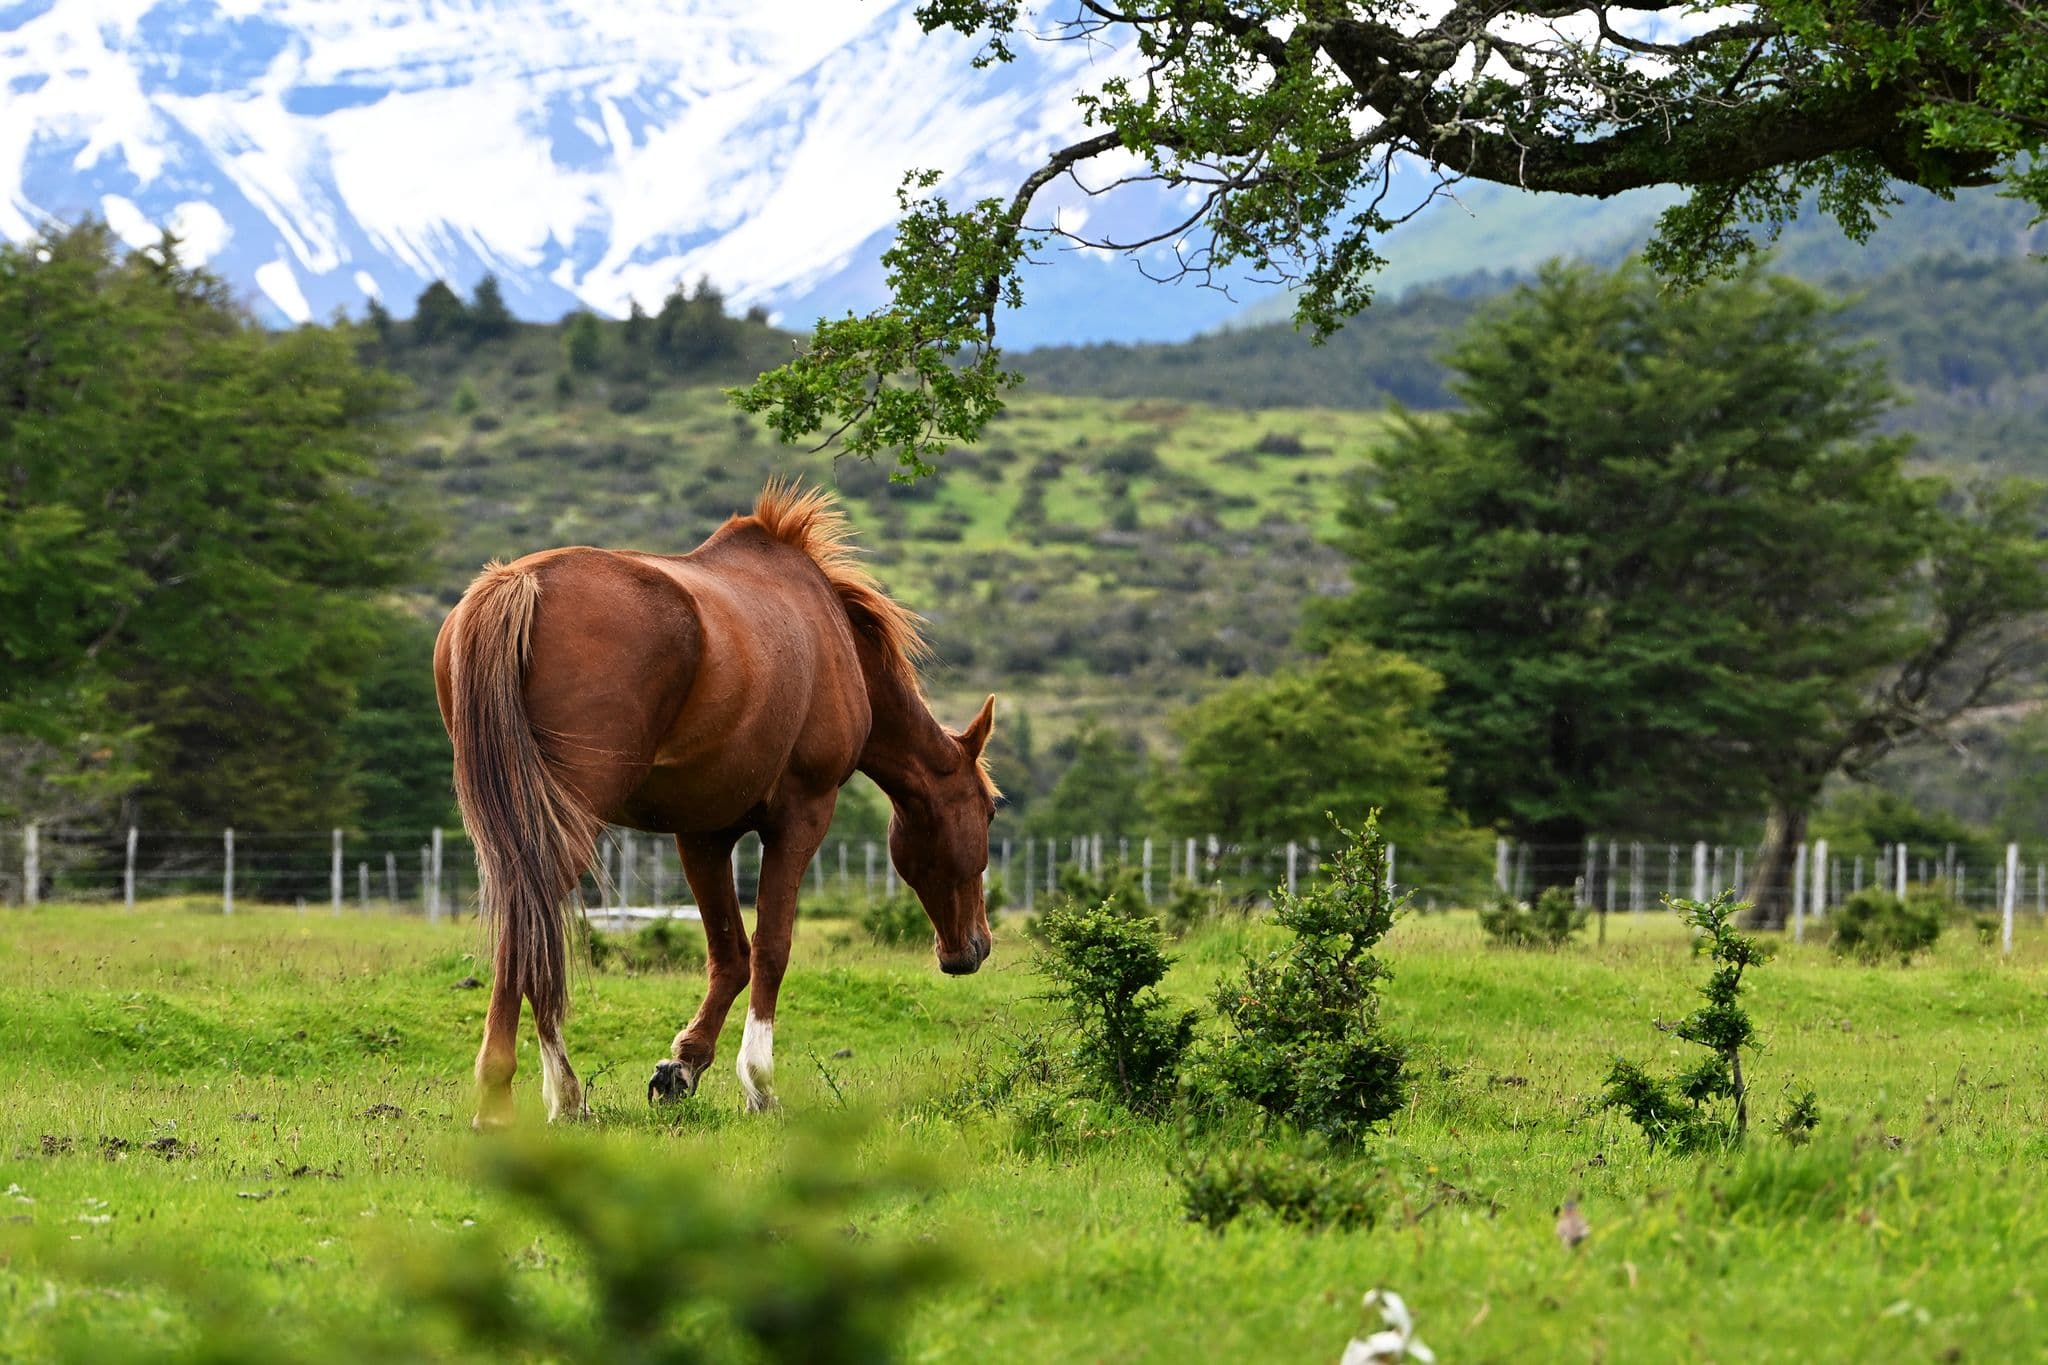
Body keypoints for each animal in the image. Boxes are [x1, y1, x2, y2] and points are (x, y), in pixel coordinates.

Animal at [433, 481, 998, 1126]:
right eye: (990, 812)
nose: (974, 948)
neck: (835, 641)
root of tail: (517, 583)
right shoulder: (802, 816)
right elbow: (772, 949)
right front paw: (760, 1085)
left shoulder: (703, 833)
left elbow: (731, 954)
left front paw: (683, 1066)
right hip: (567, 819)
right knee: (529, 927)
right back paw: (512, 1095)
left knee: (530, 926)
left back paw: (563, 1096)